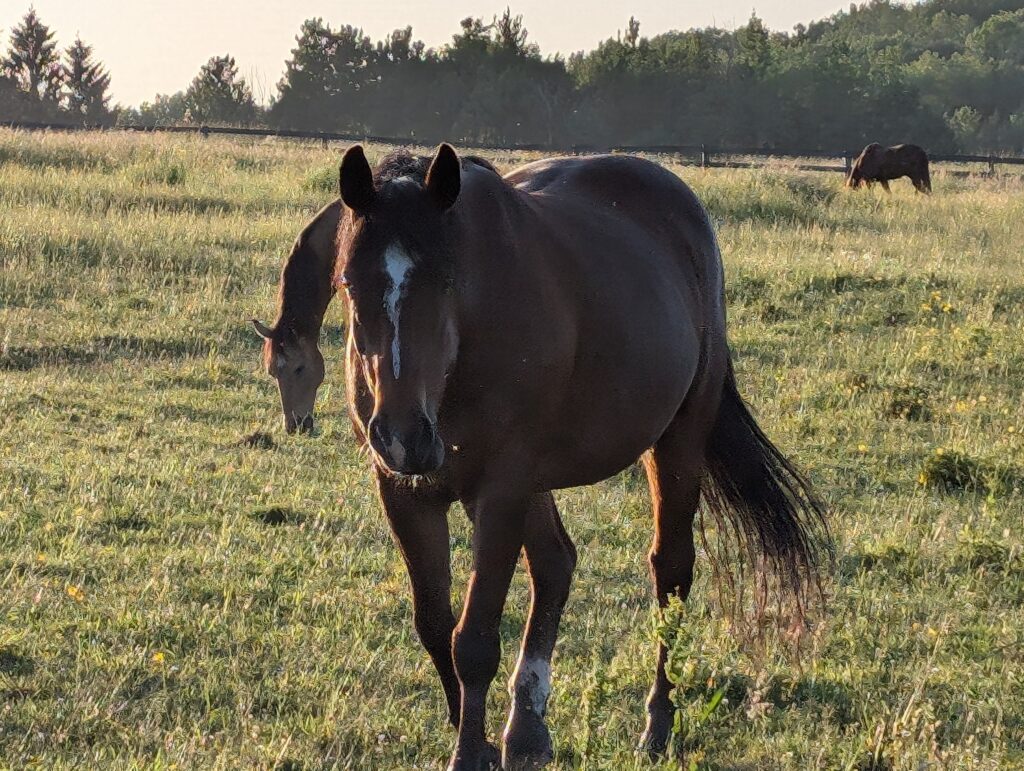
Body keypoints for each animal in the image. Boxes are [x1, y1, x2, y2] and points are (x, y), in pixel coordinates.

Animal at [254, 144, 830, 770]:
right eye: (349, 283)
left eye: (447, 281)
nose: (403, 435)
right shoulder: (405, 494)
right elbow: (434, 623)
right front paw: (480, 738)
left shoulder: (500, 490)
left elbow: (474, 639)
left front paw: (468, 751)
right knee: (556, 563)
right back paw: (527, 729)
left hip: (677, 441)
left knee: (671, 571)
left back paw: (657, 724)